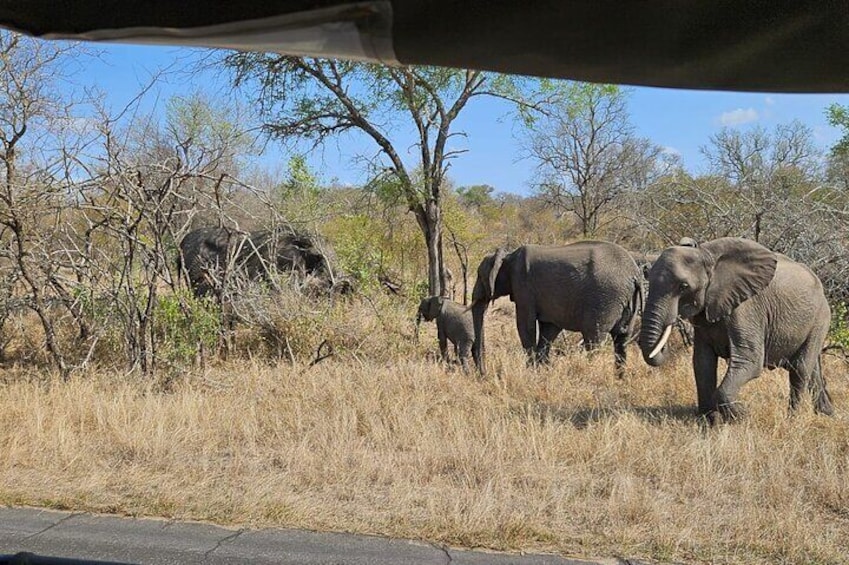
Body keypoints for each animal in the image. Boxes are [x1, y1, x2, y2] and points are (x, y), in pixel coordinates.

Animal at [471, 241, 643, 378]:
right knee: (622, 339)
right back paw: (619, 378)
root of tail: (634, 275)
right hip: (625, 301)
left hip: (605, 298)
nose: (483, 374)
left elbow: (526, 325)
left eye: (479, 275)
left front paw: (531, 371)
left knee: (594, 339)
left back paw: (591, 372)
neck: (508, 256)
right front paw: (542, 369)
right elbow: (549, 330)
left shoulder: (523, 287)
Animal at [639, 237, 833, 423]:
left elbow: (750, 361)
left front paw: (743, 416)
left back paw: (793, 419)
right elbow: (702, 363)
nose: (664, 345)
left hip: (820, 319)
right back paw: (826, 414)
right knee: (812, 369)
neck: (705, 254)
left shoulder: (747, 308)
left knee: (800, 369)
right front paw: (710, 421)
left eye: (683, 286)